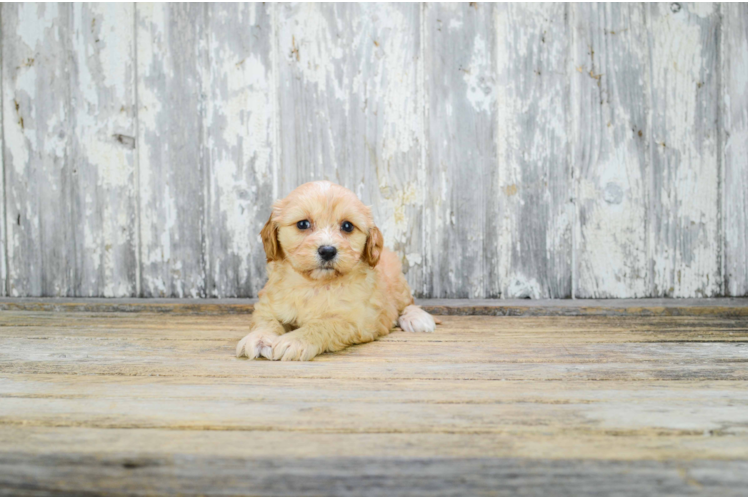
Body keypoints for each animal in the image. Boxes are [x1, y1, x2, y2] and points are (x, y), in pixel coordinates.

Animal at [237, 182, 436, 362]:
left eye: (347, 226)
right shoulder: (268, 305)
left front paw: (295, 341)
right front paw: (259, 338)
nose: (327, 251)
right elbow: (265, 320)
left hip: (398, 283)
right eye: (303, 224)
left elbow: (322, 324)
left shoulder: (353, 320)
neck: (314, 284)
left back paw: (417, 318)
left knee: (406, 303)